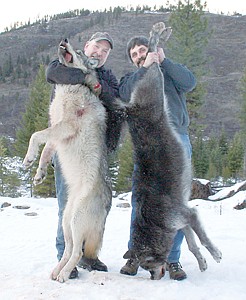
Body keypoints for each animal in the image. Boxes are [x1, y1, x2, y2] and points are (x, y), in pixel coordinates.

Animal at [23, 38, 111, 282]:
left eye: (79, 52)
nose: (64, 39)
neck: (72, 87)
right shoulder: (57, 133)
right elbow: (45, 150)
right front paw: (39, 173)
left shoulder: (65, 127)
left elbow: (36, 136)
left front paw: (29, 158)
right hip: (66, 221)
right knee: (70, 249)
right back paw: (58, 271)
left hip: (76, 221)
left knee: (77, 252)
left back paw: (63, 275)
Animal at [117, 22, 221, 280]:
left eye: (148, 266)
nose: (154, 277)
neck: (154, 224)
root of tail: (132, 110)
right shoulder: (183, 221)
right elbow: (192, 244)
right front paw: (202, 262)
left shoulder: (189, 214)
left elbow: (202, 239)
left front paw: (214, 253)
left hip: (154, 86)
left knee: (153, 52)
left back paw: (156, 36)